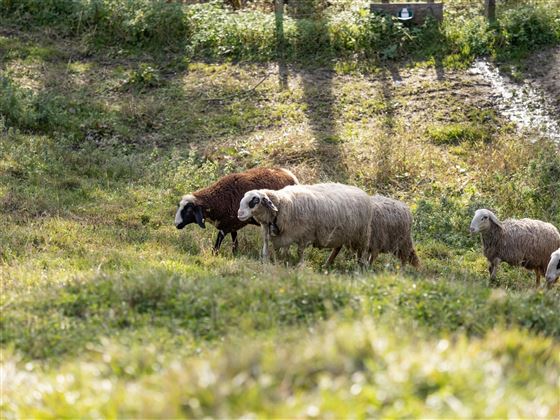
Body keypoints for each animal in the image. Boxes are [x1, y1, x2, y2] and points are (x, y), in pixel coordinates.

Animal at [236, 182, 372, 264]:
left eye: (255, 200)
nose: (239, 214)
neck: (282, 204)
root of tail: (361, 191)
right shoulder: (276, 233)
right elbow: (269, 248)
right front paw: (275, 261)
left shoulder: (304, 235)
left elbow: (299, 252)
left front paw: (300, 265)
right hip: (341, 233)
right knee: (337, 248)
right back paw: (327, 263)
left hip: (362, 234)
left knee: (362, 252)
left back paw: (359, 266)